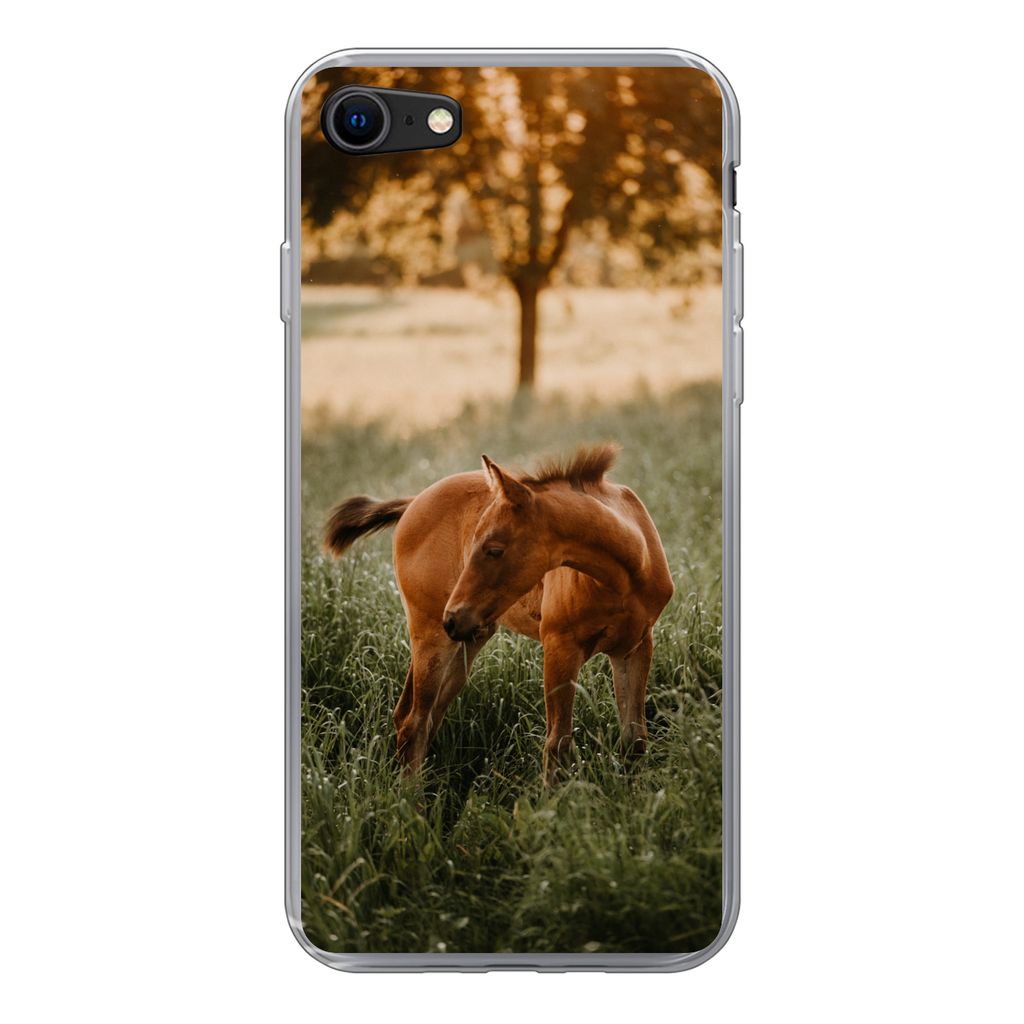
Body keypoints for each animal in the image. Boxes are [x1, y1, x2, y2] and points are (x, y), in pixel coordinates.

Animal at [323, 444, 674, 783]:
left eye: (494, 549)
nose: (453, 617)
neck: (627, 573)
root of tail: (413, 502)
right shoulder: (560, 648)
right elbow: (557, 746)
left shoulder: (634, 647)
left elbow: (635, 740)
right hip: (433, 636)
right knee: (414, 722)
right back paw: (412, 802)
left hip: (468, 640)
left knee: (420, 717)